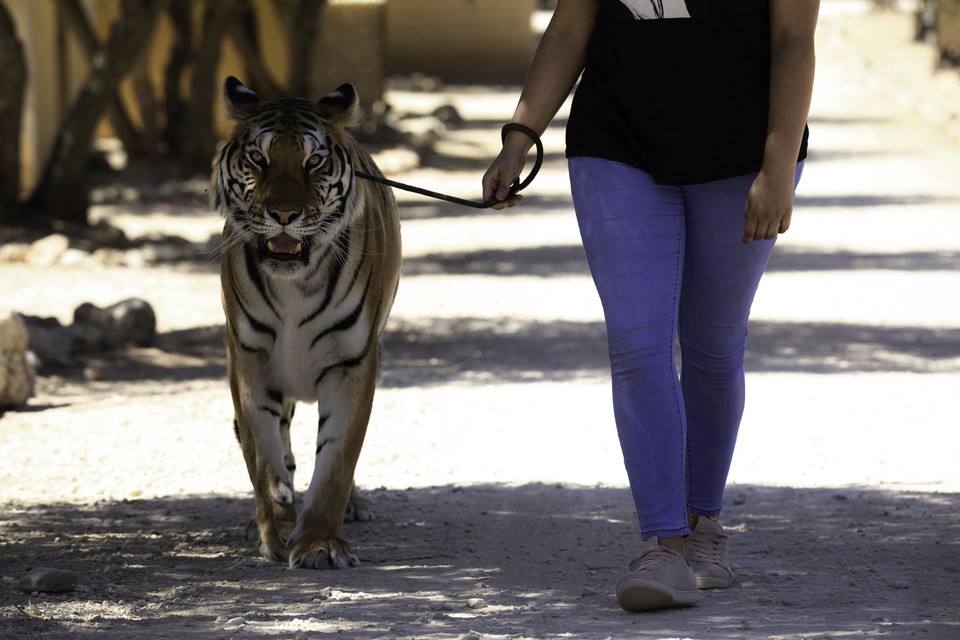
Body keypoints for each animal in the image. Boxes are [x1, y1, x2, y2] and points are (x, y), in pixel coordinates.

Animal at [212, 76, 401, 569]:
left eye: (313, 161)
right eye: (258, 159)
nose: (283, 215)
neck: (293, 282)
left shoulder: (352, 360)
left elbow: (337, 459)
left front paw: (320, 543)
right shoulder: (249, 355)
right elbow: (263, 452)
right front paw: (276, 524)